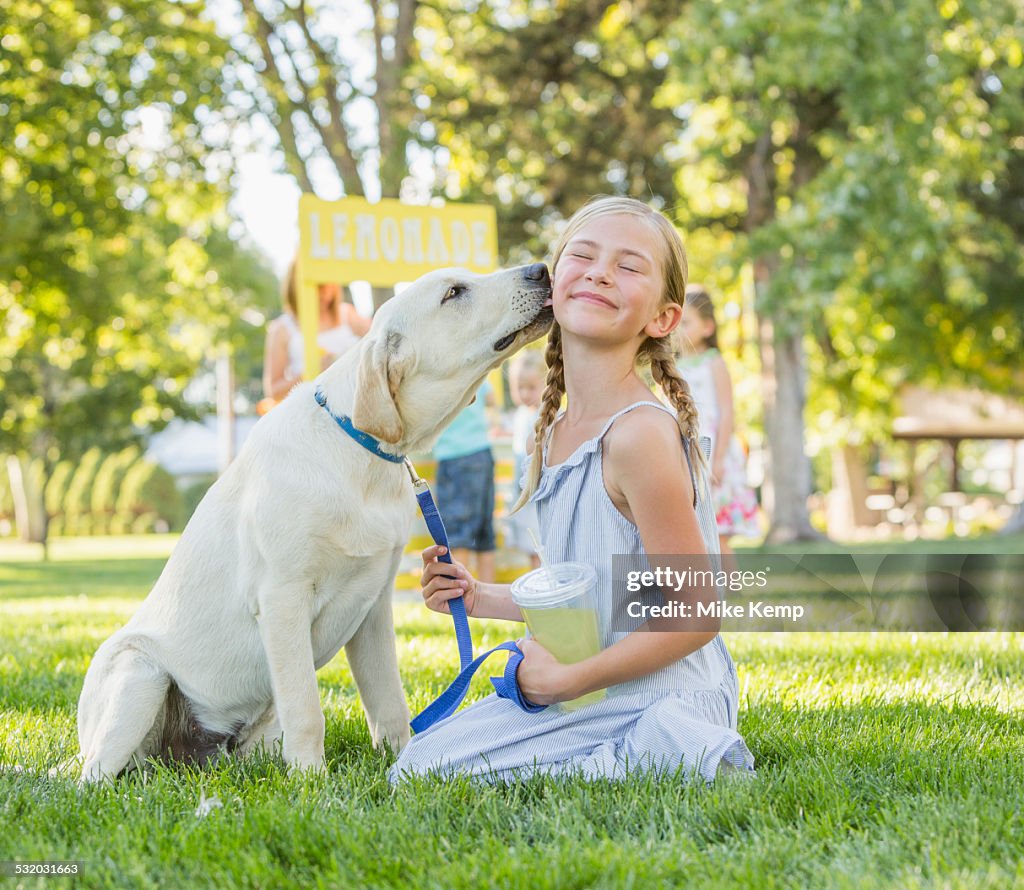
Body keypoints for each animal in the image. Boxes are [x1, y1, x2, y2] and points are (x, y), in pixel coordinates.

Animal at [77, 262, 552, 778]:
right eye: (454, 293)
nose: (540, 269)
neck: (359, 451)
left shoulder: (375, 607)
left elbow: (389, 701)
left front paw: (401, 758)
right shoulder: (282, 598)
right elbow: (307, 707)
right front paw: (310, 778)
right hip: (139, 673)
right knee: (94, 776)